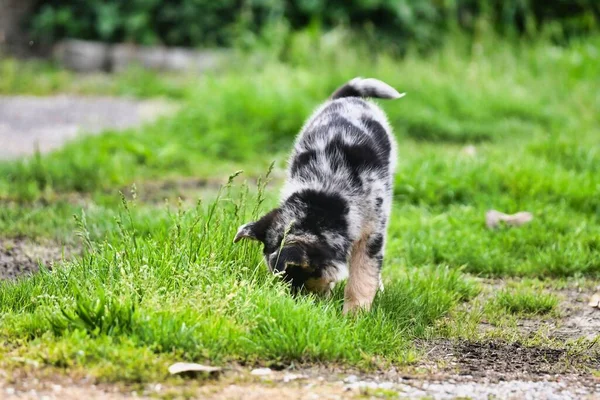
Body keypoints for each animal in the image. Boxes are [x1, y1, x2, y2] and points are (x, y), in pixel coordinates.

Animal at [233, 76, 404, 312]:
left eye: (299, 277)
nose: (295, 303)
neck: (322, 204)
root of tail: (347, 98)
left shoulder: (372, 232)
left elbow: (362, 276)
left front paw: (355, 315)